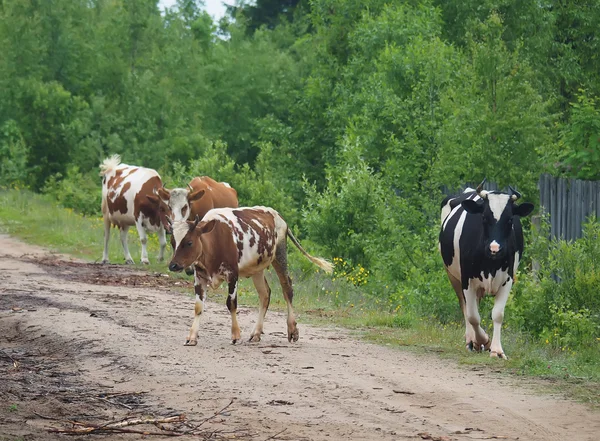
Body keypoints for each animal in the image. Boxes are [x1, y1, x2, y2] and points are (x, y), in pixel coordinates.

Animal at [169, 205, 332, 344]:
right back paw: (256, 333)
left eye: (189, 242)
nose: (173, 265)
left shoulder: (232, 274)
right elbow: (198, 306)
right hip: (257, 269)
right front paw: (192, 337)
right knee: (265, 294)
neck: (214, 242)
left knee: (287, 288)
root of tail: (278, 215)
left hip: (280, 255)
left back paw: (292, 330)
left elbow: (231, 304)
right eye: (173, 242)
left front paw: (235, 335)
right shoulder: (199, 276)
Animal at [436, 179, 536, 358]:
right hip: (453, 276)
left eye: (510, 220)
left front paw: (496, 349)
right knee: (465, 307)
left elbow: (497, 314)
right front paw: (482, 340)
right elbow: (473, 316)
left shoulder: (508, 280)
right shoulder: (467, 280)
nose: (494, 248)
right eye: (483, 217)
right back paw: (471, 340)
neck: (491, 265)